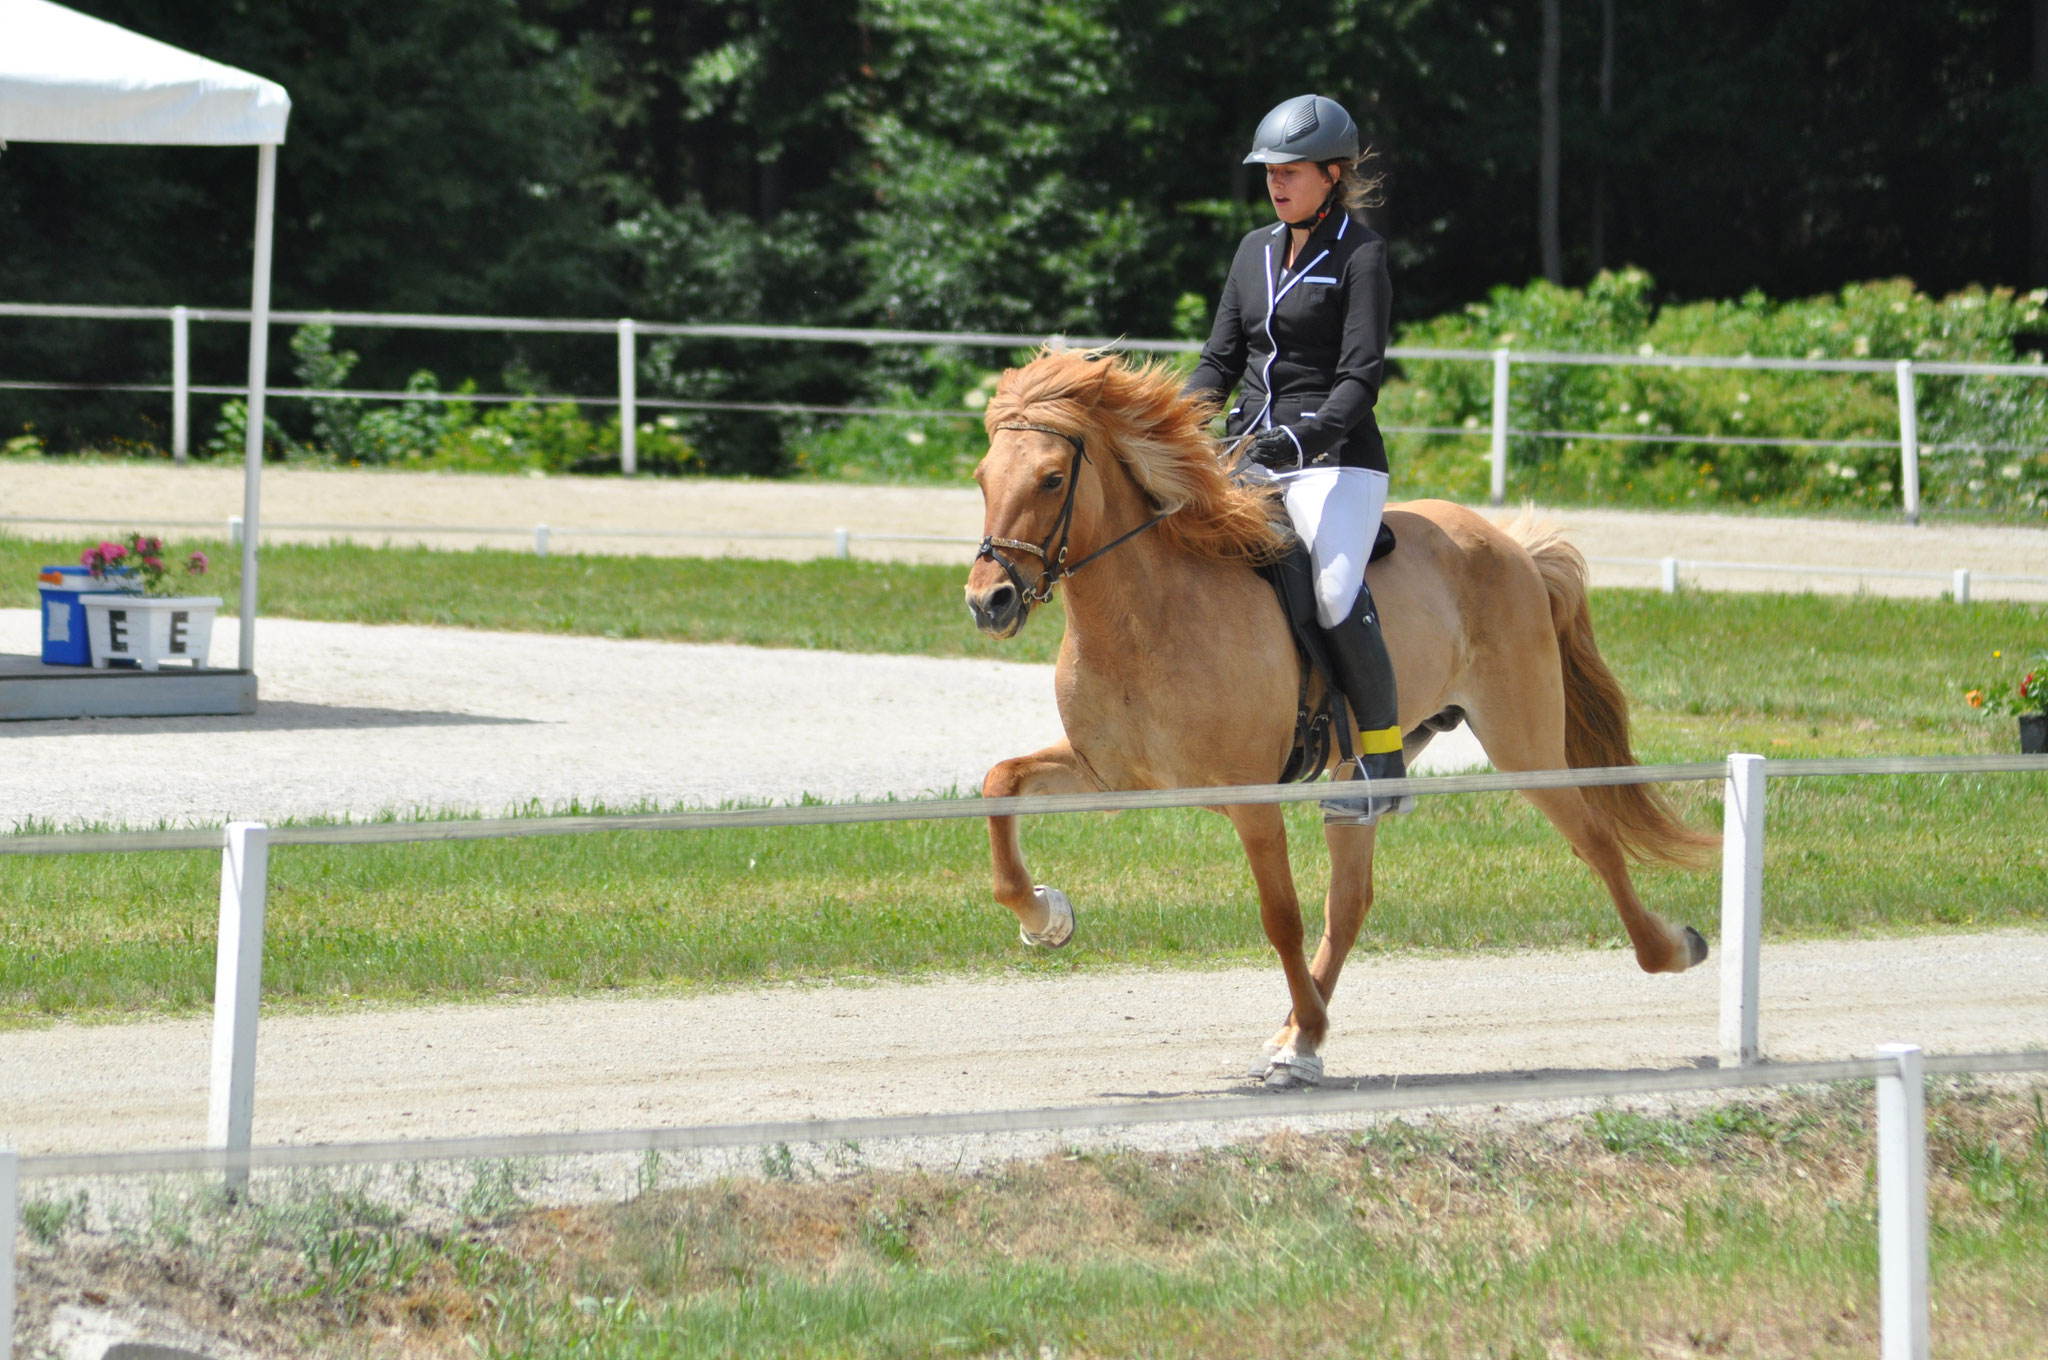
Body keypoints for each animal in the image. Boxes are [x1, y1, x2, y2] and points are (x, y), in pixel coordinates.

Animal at [958, 348, 1712, 1081]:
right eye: (983, 477)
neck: (1150, 612)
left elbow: (1281, 917)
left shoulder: (1250, 798)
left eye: (1052, 479)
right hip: (1365, 773)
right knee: (1351, 901)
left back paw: (1673, 949)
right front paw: (1045, 917)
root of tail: (1510, 544)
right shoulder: (1110, 777)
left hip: (1523, 746)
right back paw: (1298, 1037)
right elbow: (1000, 785)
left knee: (1596, 839)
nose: (988, 602)